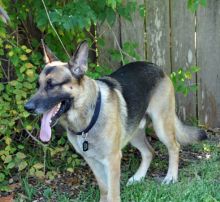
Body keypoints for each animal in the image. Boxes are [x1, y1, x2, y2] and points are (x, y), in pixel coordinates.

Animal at [24, 40, 207, 201]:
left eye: (51, 84)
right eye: (38, 85)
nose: (27, 107)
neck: (87, 120)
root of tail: (157, 67)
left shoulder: (112, 160)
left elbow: (112, 194)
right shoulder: (93, 161)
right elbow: (104, 189)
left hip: (161, 125)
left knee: (174, 147)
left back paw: (171, 177)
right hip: (134, 133)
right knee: (149, 152)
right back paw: (138, 177)